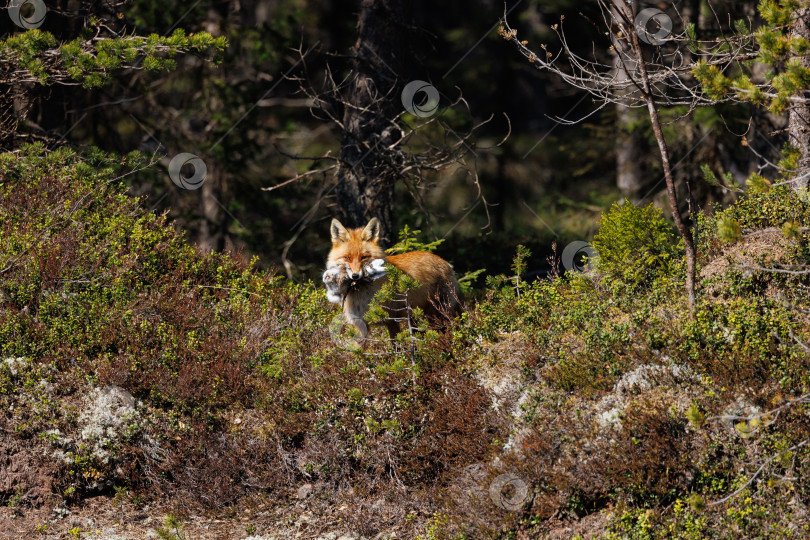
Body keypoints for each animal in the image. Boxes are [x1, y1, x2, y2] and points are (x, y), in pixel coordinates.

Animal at [322, 217, 460, 344]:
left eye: (364, 257)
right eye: (347, 257)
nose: (355, 276)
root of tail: (445, 262)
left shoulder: (391, 320)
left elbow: (396, 347)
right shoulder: (360, 324)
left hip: (438, 315)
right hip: (416, 318)